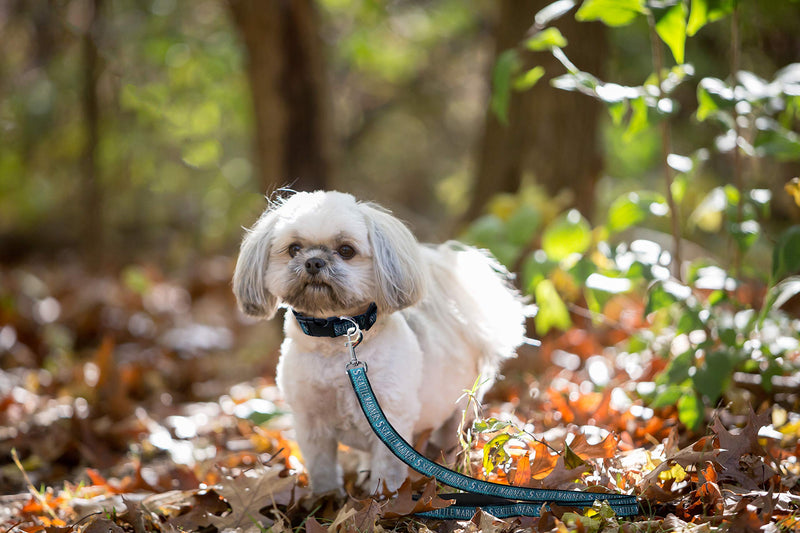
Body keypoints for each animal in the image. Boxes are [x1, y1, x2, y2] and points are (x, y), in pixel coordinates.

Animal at [234, 189, 528, 492]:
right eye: (294, 248)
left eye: (346, 250)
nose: (314, 262)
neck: (337, 338)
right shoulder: (311, 424)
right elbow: (322, 470)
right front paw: (326, 497)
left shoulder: (390, 419)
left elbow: (387, 472)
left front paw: (382, 498)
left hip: (458, 410)